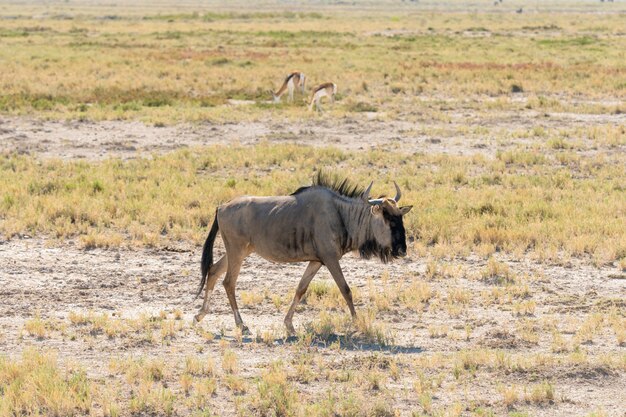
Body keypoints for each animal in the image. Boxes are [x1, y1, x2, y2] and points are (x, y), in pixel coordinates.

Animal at [193, 172, 412, 334]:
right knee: (229, 282)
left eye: (400, 217)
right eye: (387, 217)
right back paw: (241, 324)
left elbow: (301, 289)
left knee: (213, 271)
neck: (341, 215)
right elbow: (346, 289)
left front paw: (289, 325)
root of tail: (221, 207)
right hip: (237, 252)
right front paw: (357, 323)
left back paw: (200, 314)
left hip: (239, 251)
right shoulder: (330, 259)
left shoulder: (317, 261)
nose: (402, 250)